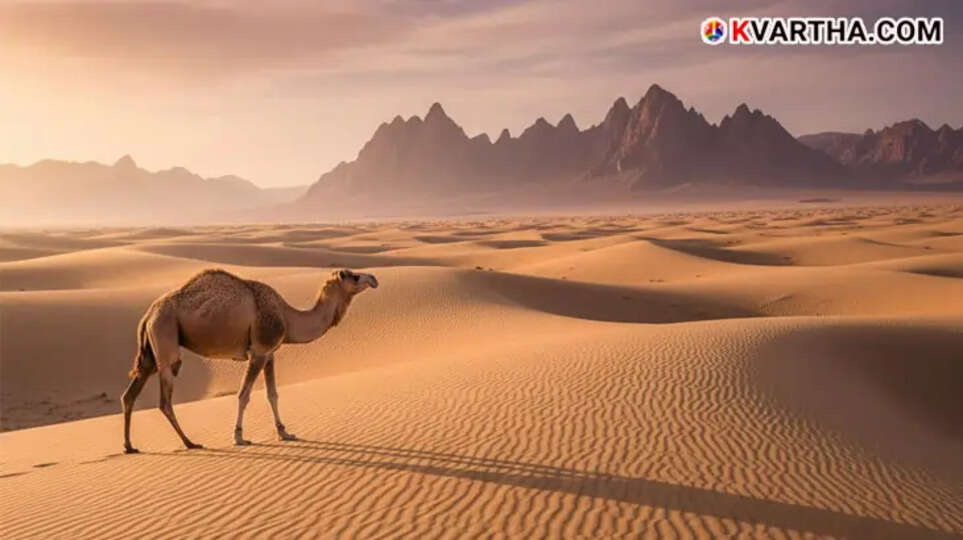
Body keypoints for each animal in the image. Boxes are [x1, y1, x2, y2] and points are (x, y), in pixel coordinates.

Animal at [121, 268, 379, 453]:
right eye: (354, 276)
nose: (374, 278)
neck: (288, 317)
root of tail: (148, 313)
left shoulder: (270, 353)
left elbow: (273, 394)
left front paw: (284, 433)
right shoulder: (259, 351)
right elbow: (244, 395)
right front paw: (239, 436)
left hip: (150, 351)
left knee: (130, 394)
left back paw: (129, 447)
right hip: (166, 335)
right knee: (165, 399)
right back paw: (190, 443)